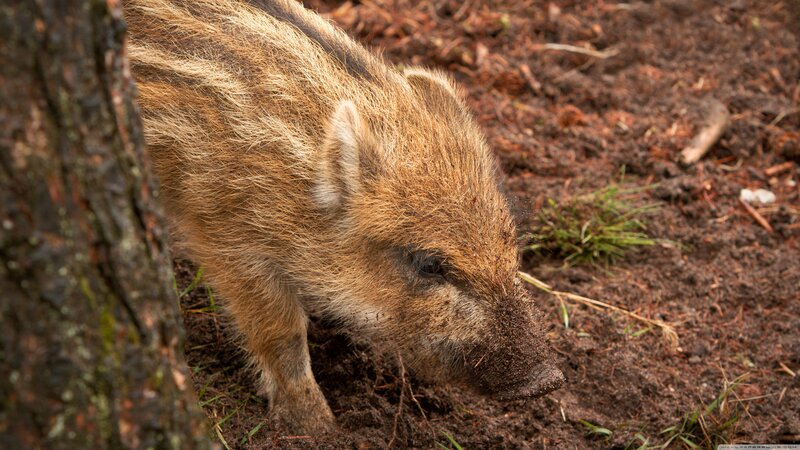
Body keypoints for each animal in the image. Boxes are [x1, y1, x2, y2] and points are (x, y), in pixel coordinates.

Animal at [123, 0, 564, 433]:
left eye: (510, 241)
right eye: (428, 264)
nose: (547, 380)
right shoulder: (227, 236)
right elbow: (280, 330)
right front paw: (316, 426)